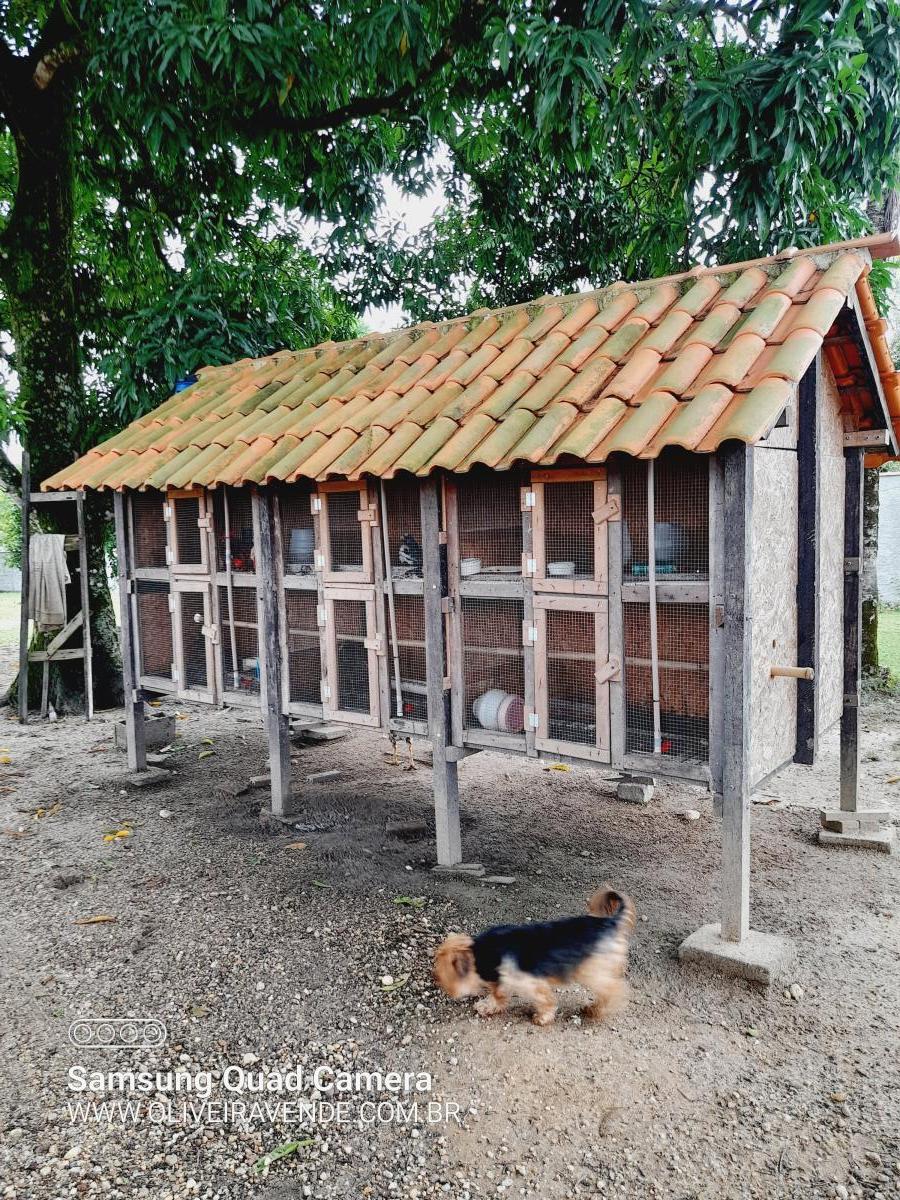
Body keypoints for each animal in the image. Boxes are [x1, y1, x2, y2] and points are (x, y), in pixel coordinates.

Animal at [434, 888, 633, 1027]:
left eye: (443, 977)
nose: (448, 992)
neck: (483, 951)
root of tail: (610, 922)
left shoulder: (530, 981)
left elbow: (546, 1001)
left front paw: (542, 1018)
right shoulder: (503, 977)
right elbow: (498, 994)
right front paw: (488, 1006)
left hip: (591, 971)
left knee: (613, 989)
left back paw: (595, 1010)